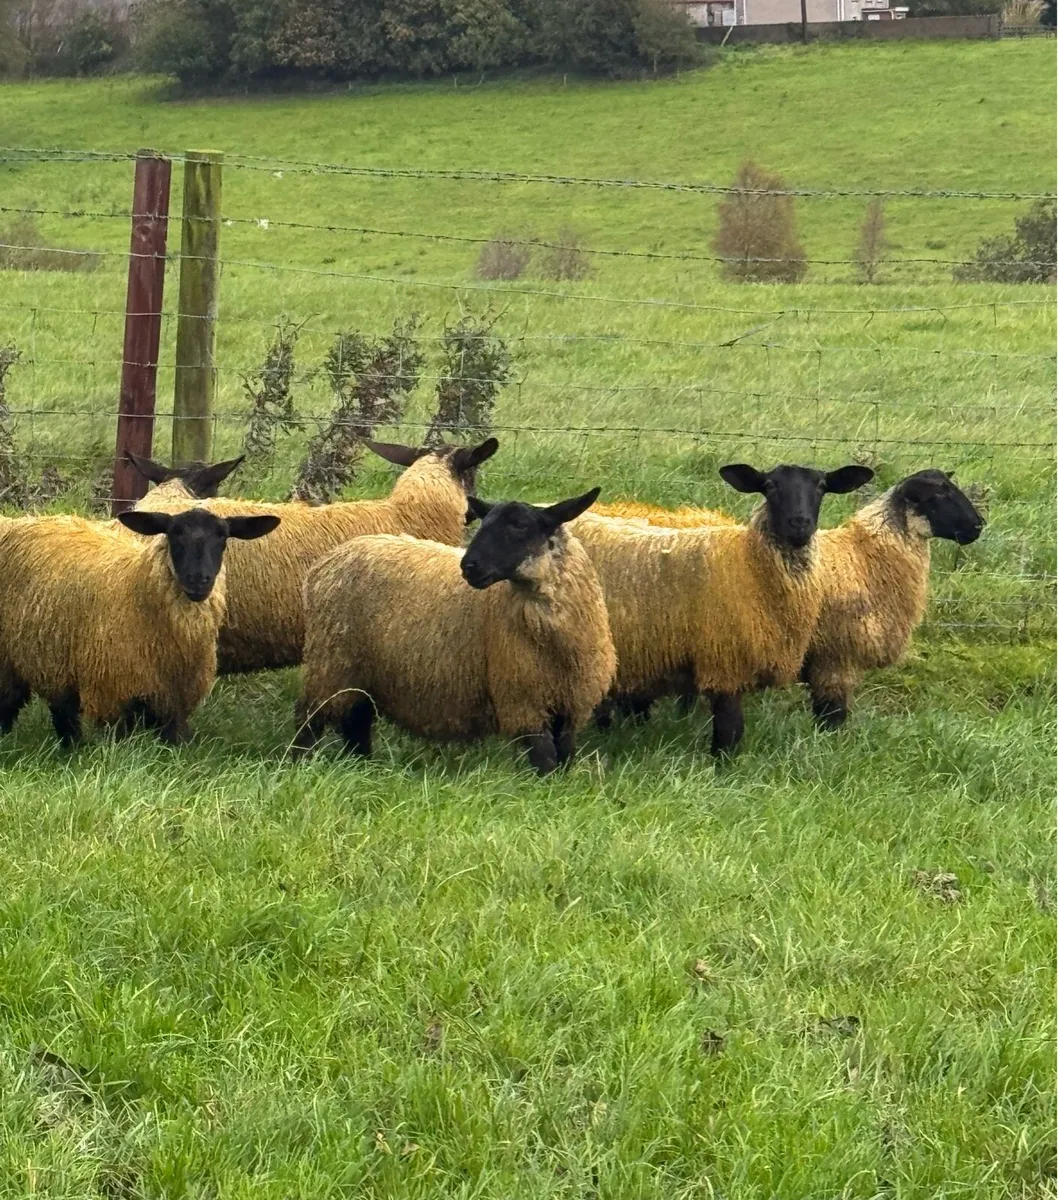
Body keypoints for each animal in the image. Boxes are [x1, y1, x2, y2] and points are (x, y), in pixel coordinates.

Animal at [0, 508, 279, 747]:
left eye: (222, 536)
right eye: (174, 534)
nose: (198, 580)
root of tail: (23, 520)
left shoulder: (175, 701)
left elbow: (176, 740)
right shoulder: (114, 693)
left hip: (56, 665)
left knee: (62, 712)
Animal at [294, 488, 615, 775]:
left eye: (520, 526)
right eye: (484, 524)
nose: (469, 567)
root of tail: (328, 561)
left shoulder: (572, 705)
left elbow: (565, 755)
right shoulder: (523, 700)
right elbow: (545, 758)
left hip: (359, 672)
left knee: (356, 720)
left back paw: (361, 765)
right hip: (331, 664)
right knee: (310, 718)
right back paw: (298, 763)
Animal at [569, 462, 874, 755]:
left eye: (821, 486)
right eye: (770, 486)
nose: (799, 523)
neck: (749, 564)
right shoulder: (724, 660)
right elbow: (730, 728)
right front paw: (721, 763)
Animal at [801, 469, 985, 729]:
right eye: (938, 494)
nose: (978, 526)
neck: (864, 554)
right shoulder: (836, 653)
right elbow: (832, 709)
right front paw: (829, 733)